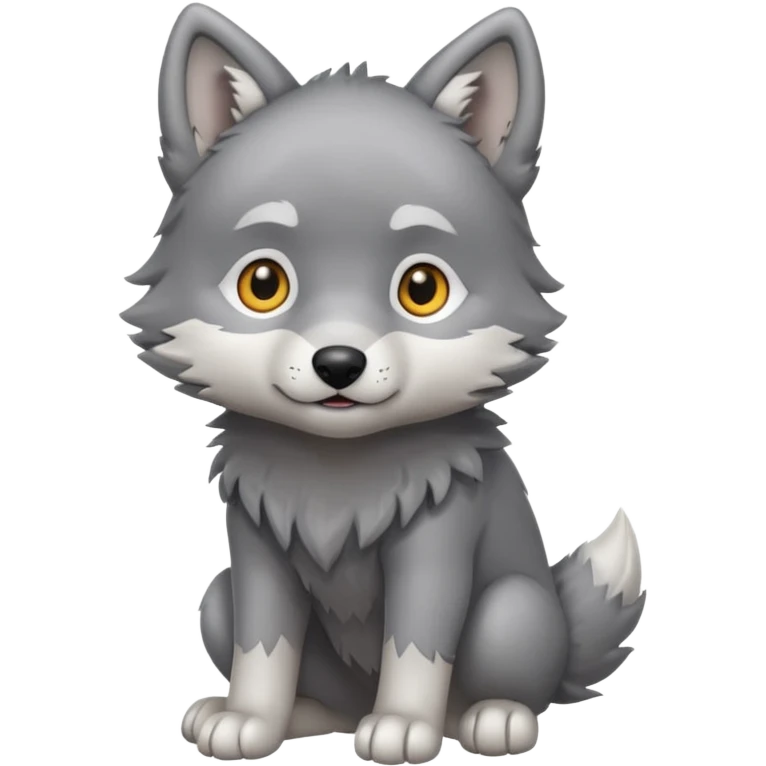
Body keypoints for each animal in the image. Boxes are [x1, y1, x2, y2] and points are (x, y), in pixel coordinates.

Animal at [128, 4, 646, 763]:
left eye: (422, 289)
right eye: (263, 283)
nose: (339, 363)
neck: (338, 477)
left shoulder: (436, 544)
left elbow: (417, 646)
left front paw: (403, 725)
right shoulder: (255, 551)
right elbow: (263, 645)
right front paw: (251, 718)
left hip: (512, 608)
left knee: (511, 685)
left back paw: (491, 718)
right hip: (217, 599)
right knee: (314, 685)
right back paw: (309, 715)